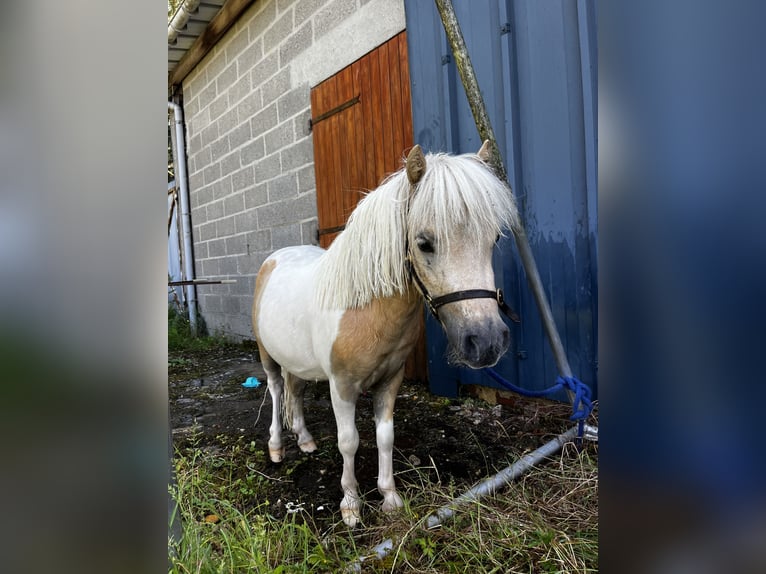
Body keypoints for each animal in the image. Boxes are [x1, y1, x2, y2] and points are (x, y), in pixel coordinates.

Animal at [252, 141, 519, 527]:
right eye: (424, 243)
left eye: (494, 238)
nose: (486, 342)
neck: (365, 308)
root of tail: (275, 259)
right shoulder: (342, 386)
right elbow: (348, 441)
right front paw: (351, 505)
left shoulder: (391, 379)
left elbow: (385, 437)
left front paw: (389, 497)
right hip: (266, 355)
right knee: (275, 391)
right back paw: (276, 447)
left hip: (296, 360)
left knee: (295, 390)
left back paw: (304, 440)